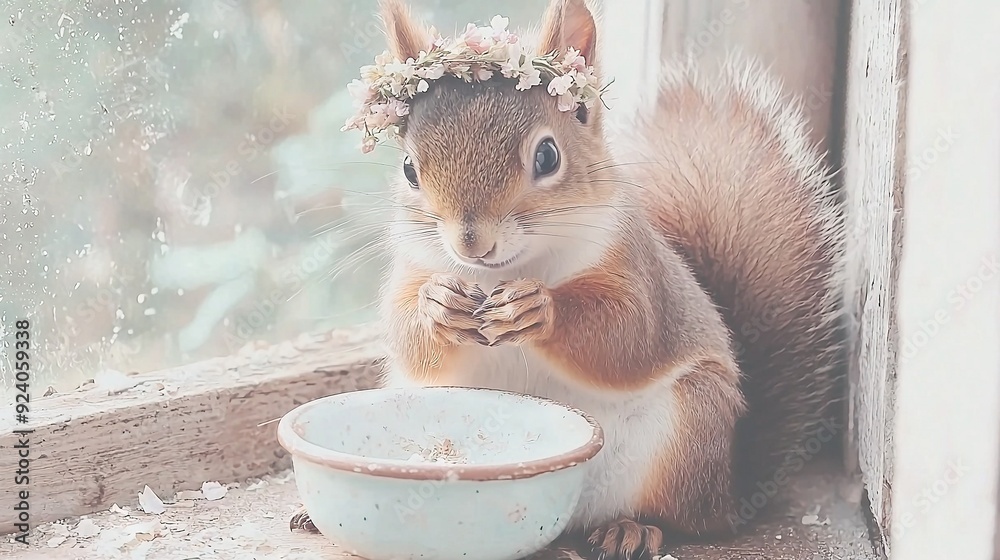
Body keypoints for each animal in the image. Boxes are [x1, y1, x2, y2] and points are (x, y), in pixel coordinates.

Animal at [290, 0, 844, 556]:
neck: (508, 270)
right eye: (408, 167)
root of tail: (731, 491)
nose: (471, 243)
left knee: (682, 519)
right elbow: (406, 335)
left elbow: (629, 334)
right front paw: (437, 305)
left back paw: (631, 528)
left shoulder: (637, 269)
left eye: (548, 156)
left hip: (687, 432)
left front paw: (539, 310)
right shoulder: (413, 265)